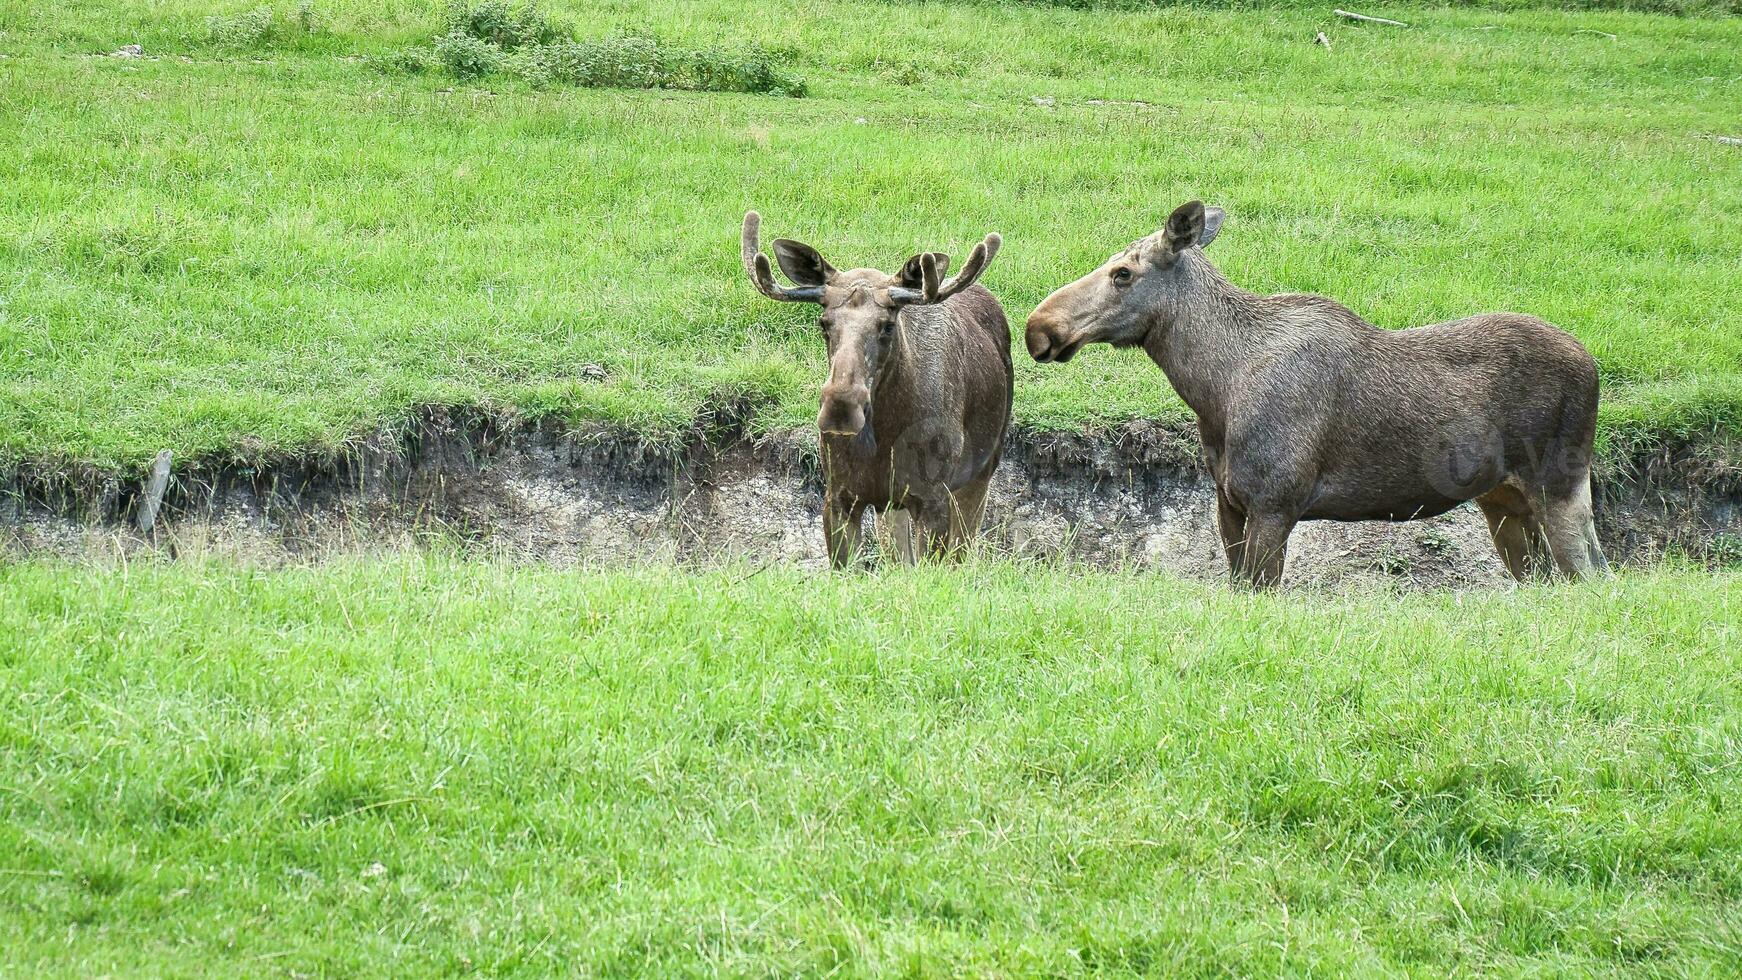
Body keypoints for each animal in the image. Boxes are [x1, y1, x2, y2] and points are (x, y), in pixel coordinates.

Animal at [742, 214, 1017, 567]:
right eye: (823, 323)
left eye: (887, 325)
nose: (841, 406)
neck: (884, 436)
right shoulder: (840, 496)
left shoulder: (934, 497)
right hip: (890, 506)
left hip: (981, 471)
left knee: (963, 551)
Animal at [1024, 195, 1609, 588]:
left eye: (1122, 273)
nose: (1038, 326)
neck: (1216, 389)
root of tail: (1593, 366)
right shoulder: (1228, 502)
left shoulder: (1275, 504)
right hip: (1504, 501)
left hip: (1560, 485)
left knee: (1591, 577)